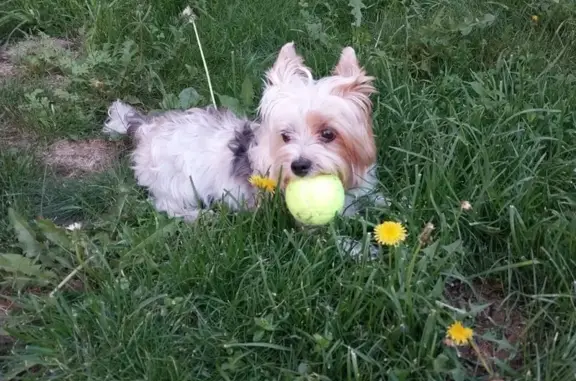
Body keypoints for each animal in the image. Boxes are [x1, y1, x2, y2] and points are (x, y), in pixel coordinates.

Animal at [103, 42, 382, 221]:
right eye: (285, 136)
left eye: (328, 134)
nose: (299, 166)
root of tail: (146, 127)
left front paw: (382, 202)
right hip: (176, 181)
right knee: (167, 203)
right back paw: (198, 216)